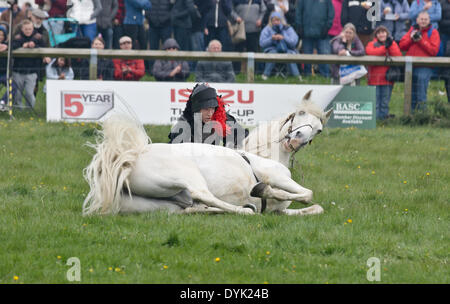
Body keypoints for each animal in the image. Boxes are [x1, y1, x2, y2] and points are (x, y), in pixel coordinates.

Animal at [82, 111, 328, 216]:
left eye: (318, 130)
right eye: (299, 115)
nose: (296, 139)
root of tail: (129, 157)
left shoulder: (280, 212)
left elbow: (315, 208)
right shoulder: (278, 178)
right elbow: (307, 194)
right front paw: (262, 190)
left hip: (155, 204)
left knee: (186, 209)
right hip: (187, 174)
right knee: (202, 194)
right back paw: (245, 208)